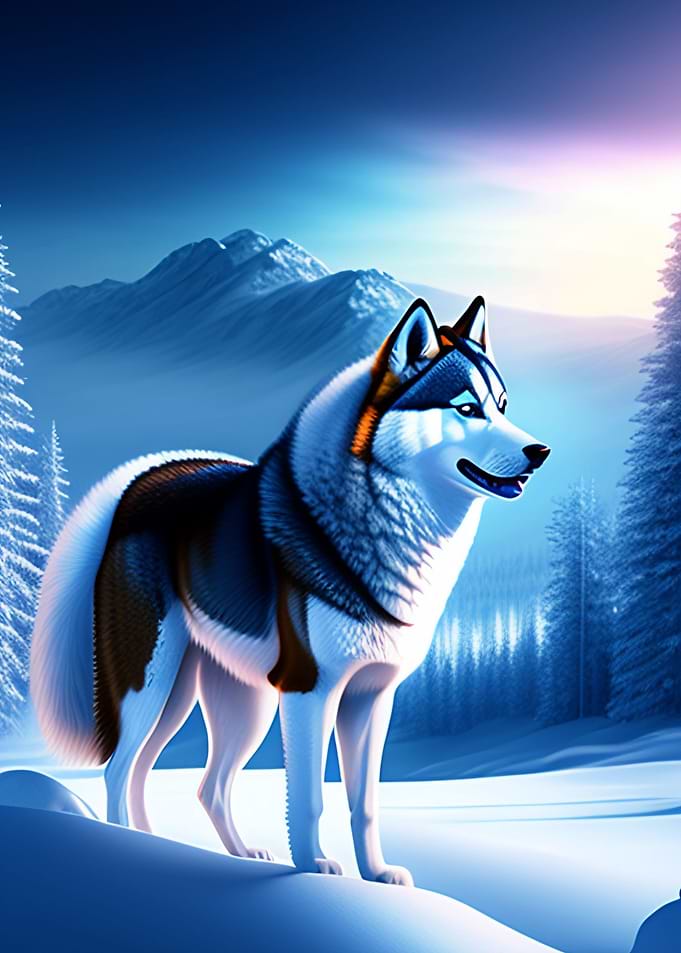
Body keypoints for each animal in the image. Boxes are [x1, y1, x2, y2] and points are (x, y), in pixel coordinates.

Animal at [31, 296, 549, 886]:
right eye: (466, 408)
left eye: (503, 405)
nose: (540, 451)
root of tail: (139, 484)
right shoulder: (309, 689)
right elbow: (308, 797)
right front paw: (313, 867)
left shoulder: (372, 697)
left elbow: (364, 803)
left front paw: (376, 874)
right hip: (154, 685)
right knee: (119, 770)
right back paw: (135, 848)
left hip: (219, 700)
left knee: (197, 783)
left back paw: (222, 851)